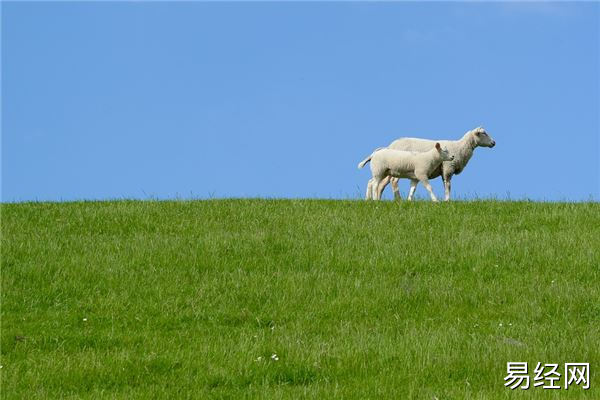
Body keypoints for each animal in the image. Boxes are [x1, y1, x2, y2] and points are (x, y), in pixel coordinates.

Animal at [366, 127, 496, 202]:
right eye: (483, 133)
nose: (494, 143)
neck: (460, 147)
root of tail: (390, 145)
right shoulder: (448, 168)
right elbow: (448, 185)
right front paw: (447, 201)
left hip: (388, 170)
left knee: (379, 184)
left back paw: (375, 199)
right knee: (392, 182)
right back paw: (398, 200)